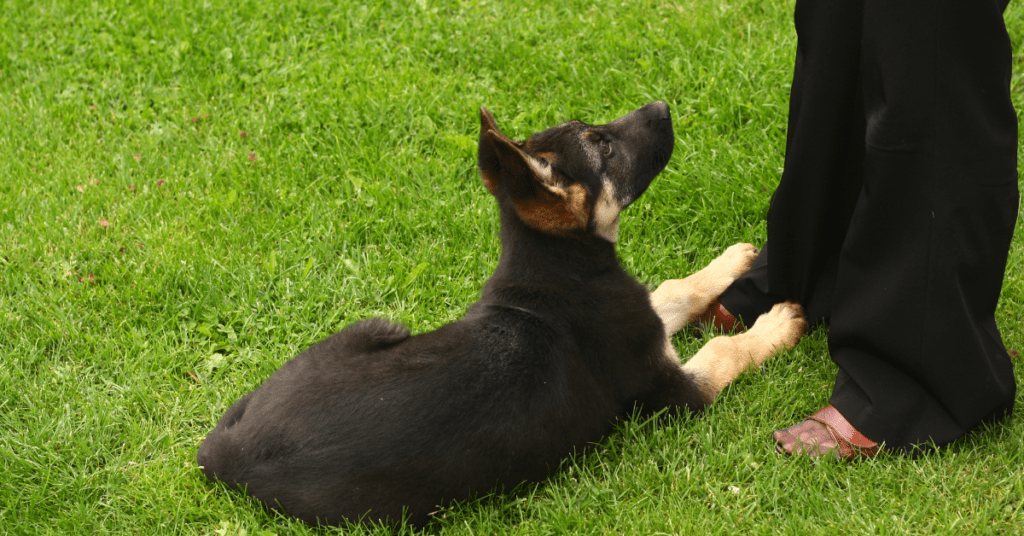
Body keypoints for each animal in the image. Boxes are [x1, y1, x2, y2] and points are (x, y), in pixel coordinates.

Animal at [193, 101, 806, 528]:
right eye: (604, 147)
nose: (663, 106)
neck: (554, 265)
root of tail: (225, 457)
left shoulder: (647, 320)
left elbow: (674, 290)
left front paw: (731, 260)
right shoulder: (672, 391)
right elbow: (724, 349)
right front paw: (777, 325)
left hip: (372, 327)